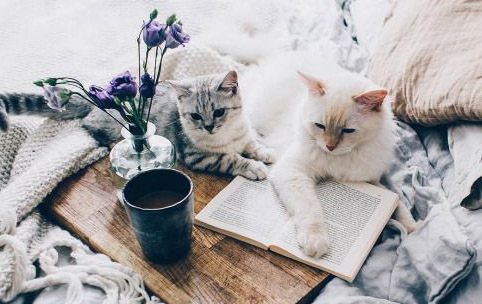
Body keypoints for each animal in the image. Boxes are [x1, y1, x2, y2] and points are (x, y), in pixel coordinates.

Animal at [0, 70, 274, 180]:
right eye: (196, 116)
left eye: (219, 112)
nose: (208, 127)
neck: (228, 135)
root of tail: (101, 100)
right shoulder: (199, 156)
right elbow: (230, 159)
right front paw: (254, 167)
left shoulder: (243, 134)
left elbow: (252, 144)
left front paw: (266, 153)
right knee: (89, 126)